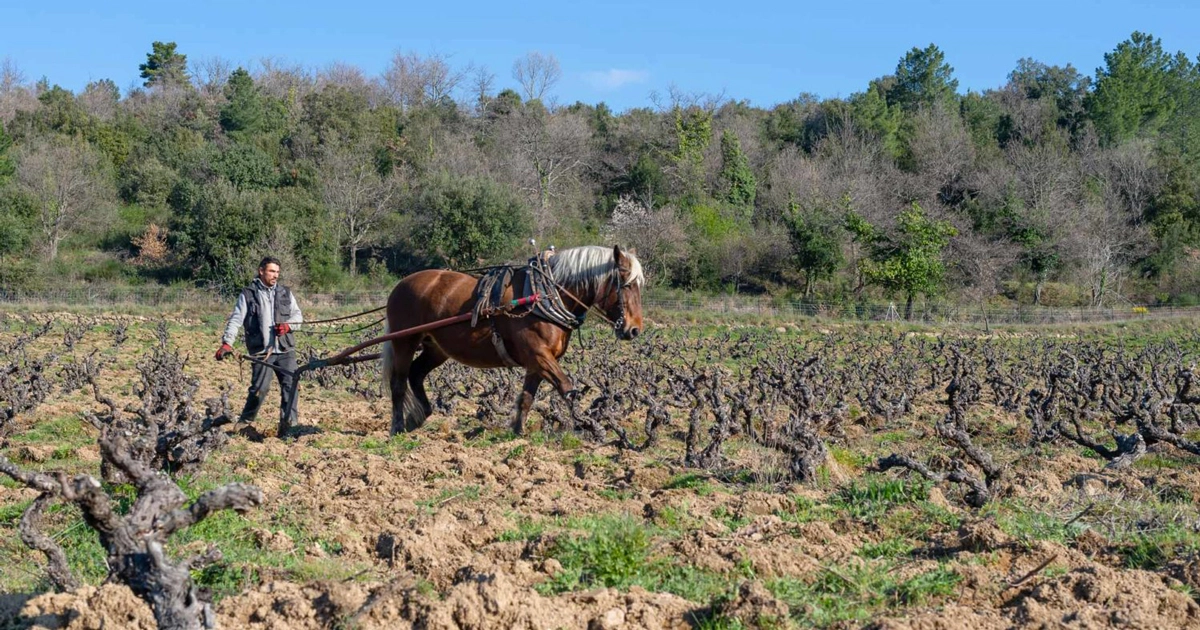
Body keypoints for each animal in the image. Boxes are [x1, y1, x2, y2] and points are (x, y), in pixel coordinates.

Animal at [384, 244, 648, 432]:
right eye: (626, 284)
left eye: (638, 285)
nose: (634, 329)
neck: (545, 295)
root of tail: (401, 284)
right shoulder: (539, 355)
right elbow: (567, 387)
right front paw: (584, 426)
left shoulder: (537, 361)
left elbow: (526, 399)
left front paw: (517, 434)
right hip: (404, 341)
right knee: (398, 383)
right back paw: (397, 428)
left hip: (436, 348)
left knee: (416, 374)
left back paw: (419, 417)